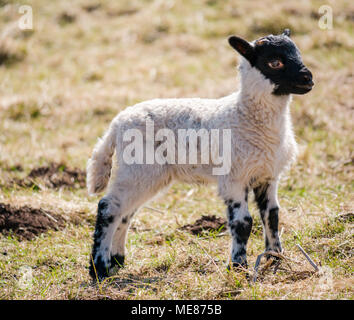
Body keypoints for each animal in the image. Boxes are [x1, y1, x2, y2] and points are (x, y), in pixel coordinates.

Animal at [87, 30, 314, 280]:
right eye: (274, 62)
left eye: (298, 53)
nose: (308, 79)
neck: (245, 115)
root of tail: (115, 125)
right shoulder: (234, 178)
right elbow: (243, 223)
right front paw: (238, 265)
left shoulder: (267, 175)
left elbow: (272, 216)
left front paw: (275, 257)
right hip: (139, 167)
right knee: (109, 207)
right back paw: (99, 267)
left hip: (144, 173)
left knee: (125, 212)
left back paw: (117, 260)